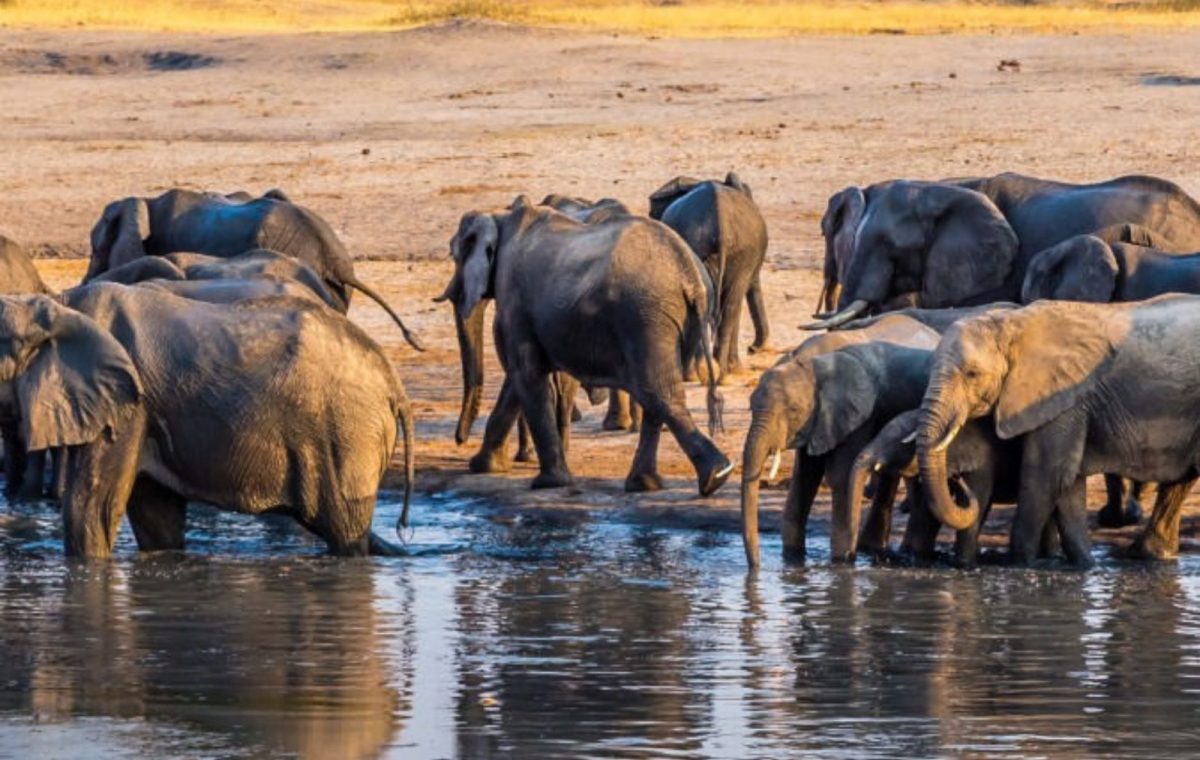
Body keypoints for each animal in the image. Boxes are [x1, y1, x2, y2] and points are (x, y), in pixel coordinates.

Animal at [0, 285, 414, 558]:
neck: (59, 305)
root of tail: (395, 385)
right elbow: (157, 518)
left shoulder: (126, 406)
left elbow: (90, 510)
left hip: (347, 432)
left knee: (345, 530)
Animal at [440, 195, 730, 495]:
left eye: (454, 255)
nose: (460, 441)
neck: (499, 217)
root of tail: (690, 275)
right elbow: (517, 377)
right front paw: (483, 466)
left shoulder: (514, 297)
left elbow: (525, 374)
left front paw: (548, 483)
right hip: (676, 319)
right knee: (658, 393)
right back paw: (651, 483)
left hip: (645, 318)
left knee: (658, 392)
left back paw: (713, 477)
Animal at [649, 172, 769, 376]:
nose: (753, 349)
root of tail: (720, 222)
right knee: (726, 305)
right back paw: (713, 372)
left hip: (739, 250)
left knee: (726, 305)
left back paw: (716, 372)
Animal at [916, 296, 1200, 567]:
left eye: (972, 374)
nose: (957, 481)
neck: (1011, 323)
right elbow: (1068, 481)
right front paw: (1083, 566)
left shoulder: (1061, 396)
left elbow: (1046, 474)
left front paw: (1020, 563)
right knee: (1182, 478)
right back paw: (1150, 555)